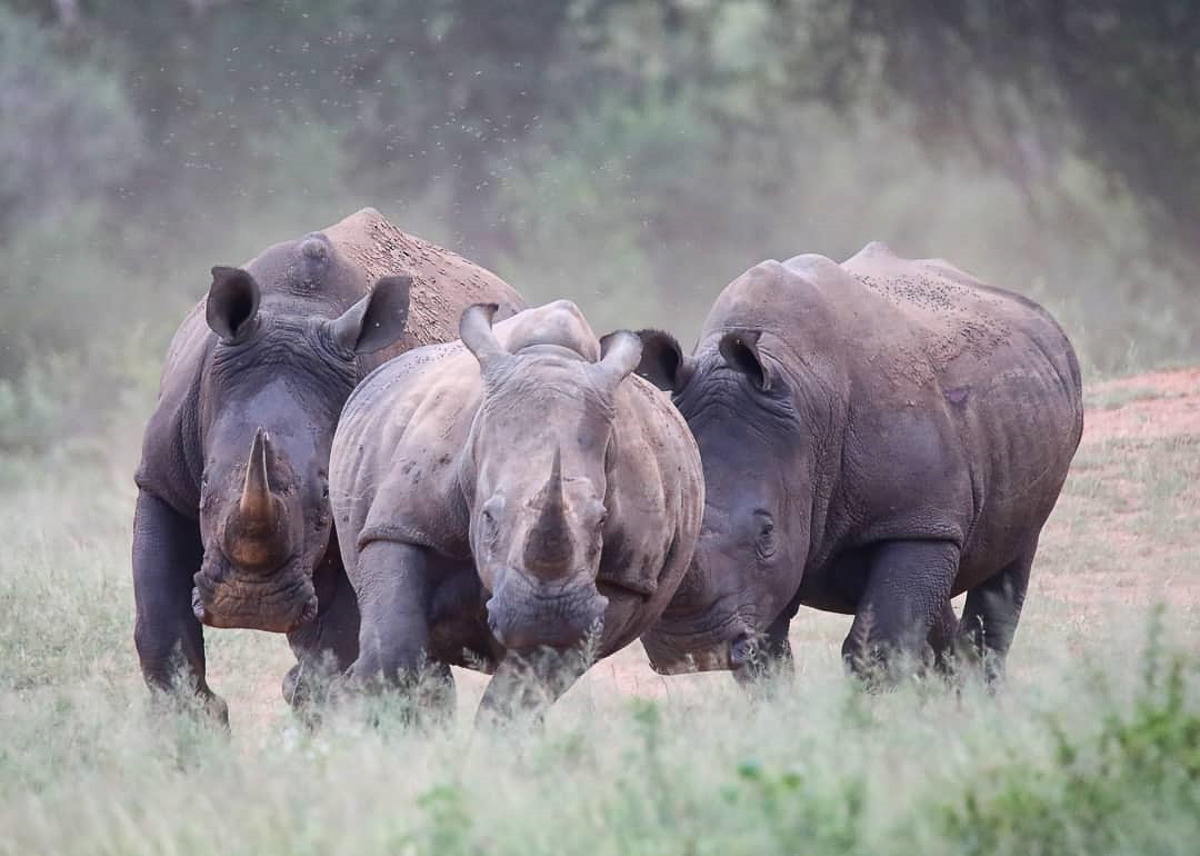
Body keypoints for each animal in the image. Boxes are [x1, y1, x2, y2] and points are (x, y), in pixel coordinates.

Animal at [133, 208, 526, 721]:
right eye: (202, 485)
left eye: (325, 497)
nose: (248, 606)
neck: (297, 311)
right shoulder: (160, 480)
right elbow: (160, 623)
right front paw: (191, 727)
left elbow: (339, 639)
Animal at [329, 301, 703, 719]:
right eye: (489, 517)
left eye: (601, 520)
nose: (546, 613)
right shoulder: (402, 523)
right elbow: (395, 647)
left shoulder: (625, 577)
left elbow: (522, 687)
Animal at [634, 243, 1083, 684]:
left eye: (766, 532)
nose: (692, 650)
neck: (806, 404)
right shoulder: (765, 575)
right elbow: (768, 660)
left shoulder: (918, 519)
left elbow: (877, 646)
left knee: (1009, 561)